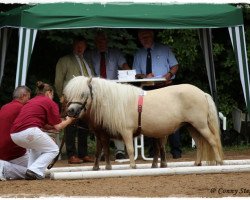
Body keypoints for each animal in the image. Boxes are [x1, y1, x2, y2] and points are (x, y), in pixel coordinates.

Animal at [63, 75, 224, 169]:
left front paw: (132, 166)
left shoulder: (126, 132)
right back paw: (197, 163)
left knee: (212, 140)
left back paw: (218, 162)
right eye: (69, 94)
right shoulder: (103, 133)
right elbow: (103, 150)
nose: (70, 111)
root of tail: (202, 93)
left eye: (83, 94)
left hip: (200, 125)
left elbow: (130, 149)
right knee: (200, 143)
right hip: (191, 126)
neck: (114, 101)